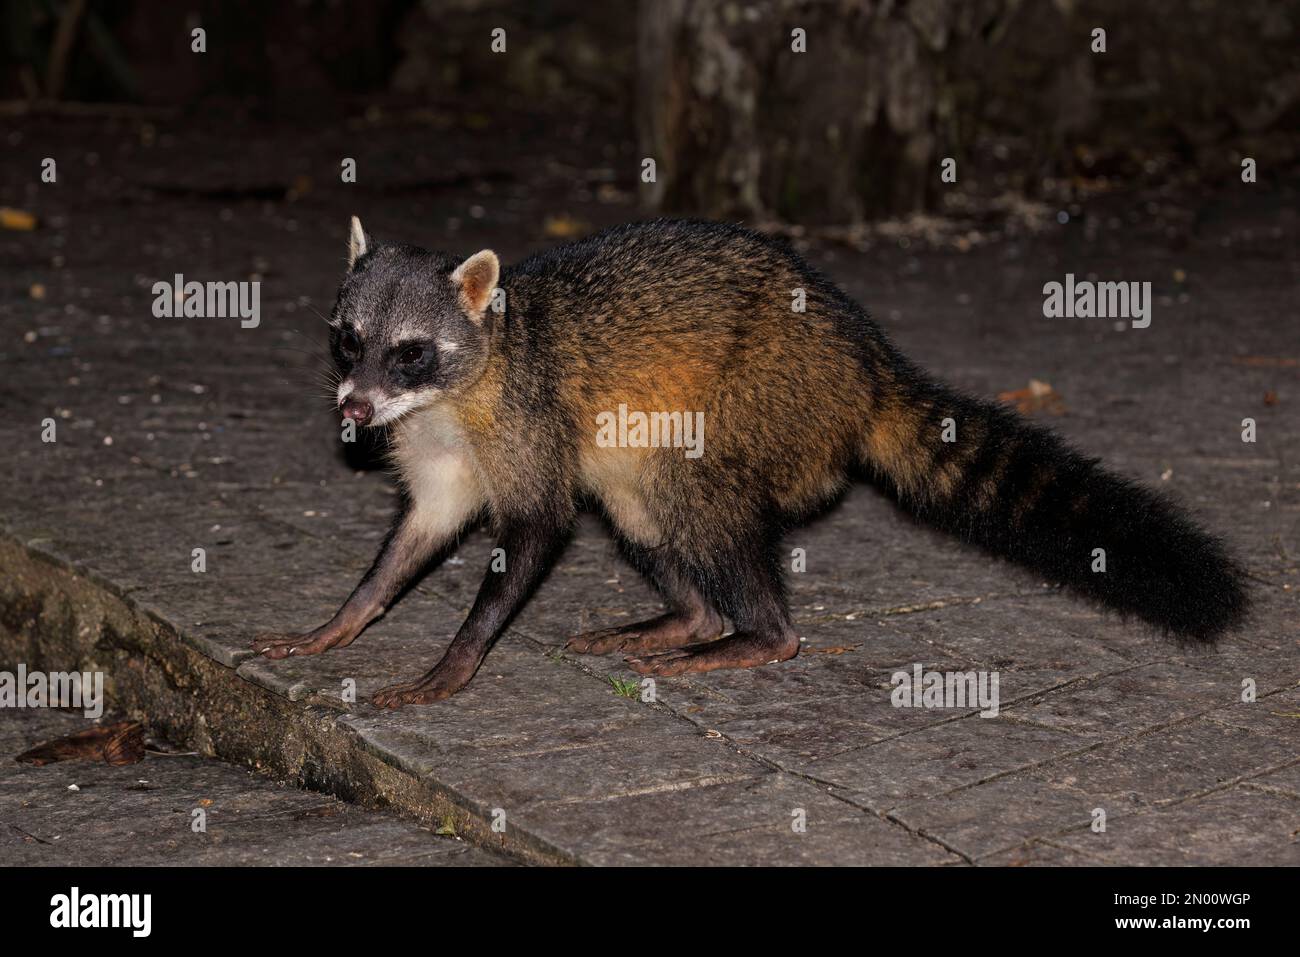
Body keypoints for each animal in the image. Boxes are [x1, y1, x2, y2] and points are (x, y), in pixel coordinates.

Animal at [252, 217, 1248, 708]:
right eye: (348, 341)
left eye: (411, 352)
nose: (352, 409)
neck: (454, 392)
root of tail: (869, 365)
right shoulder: (440, 450)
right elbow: (414, 538)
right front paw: (344, 618)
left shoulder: (524, 421)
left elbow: (537, 529)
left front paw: (453, 663)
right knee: (635, 496)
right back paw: (691, 615)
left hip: (770, 395)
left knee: (686, 492)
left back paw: (757, 630)